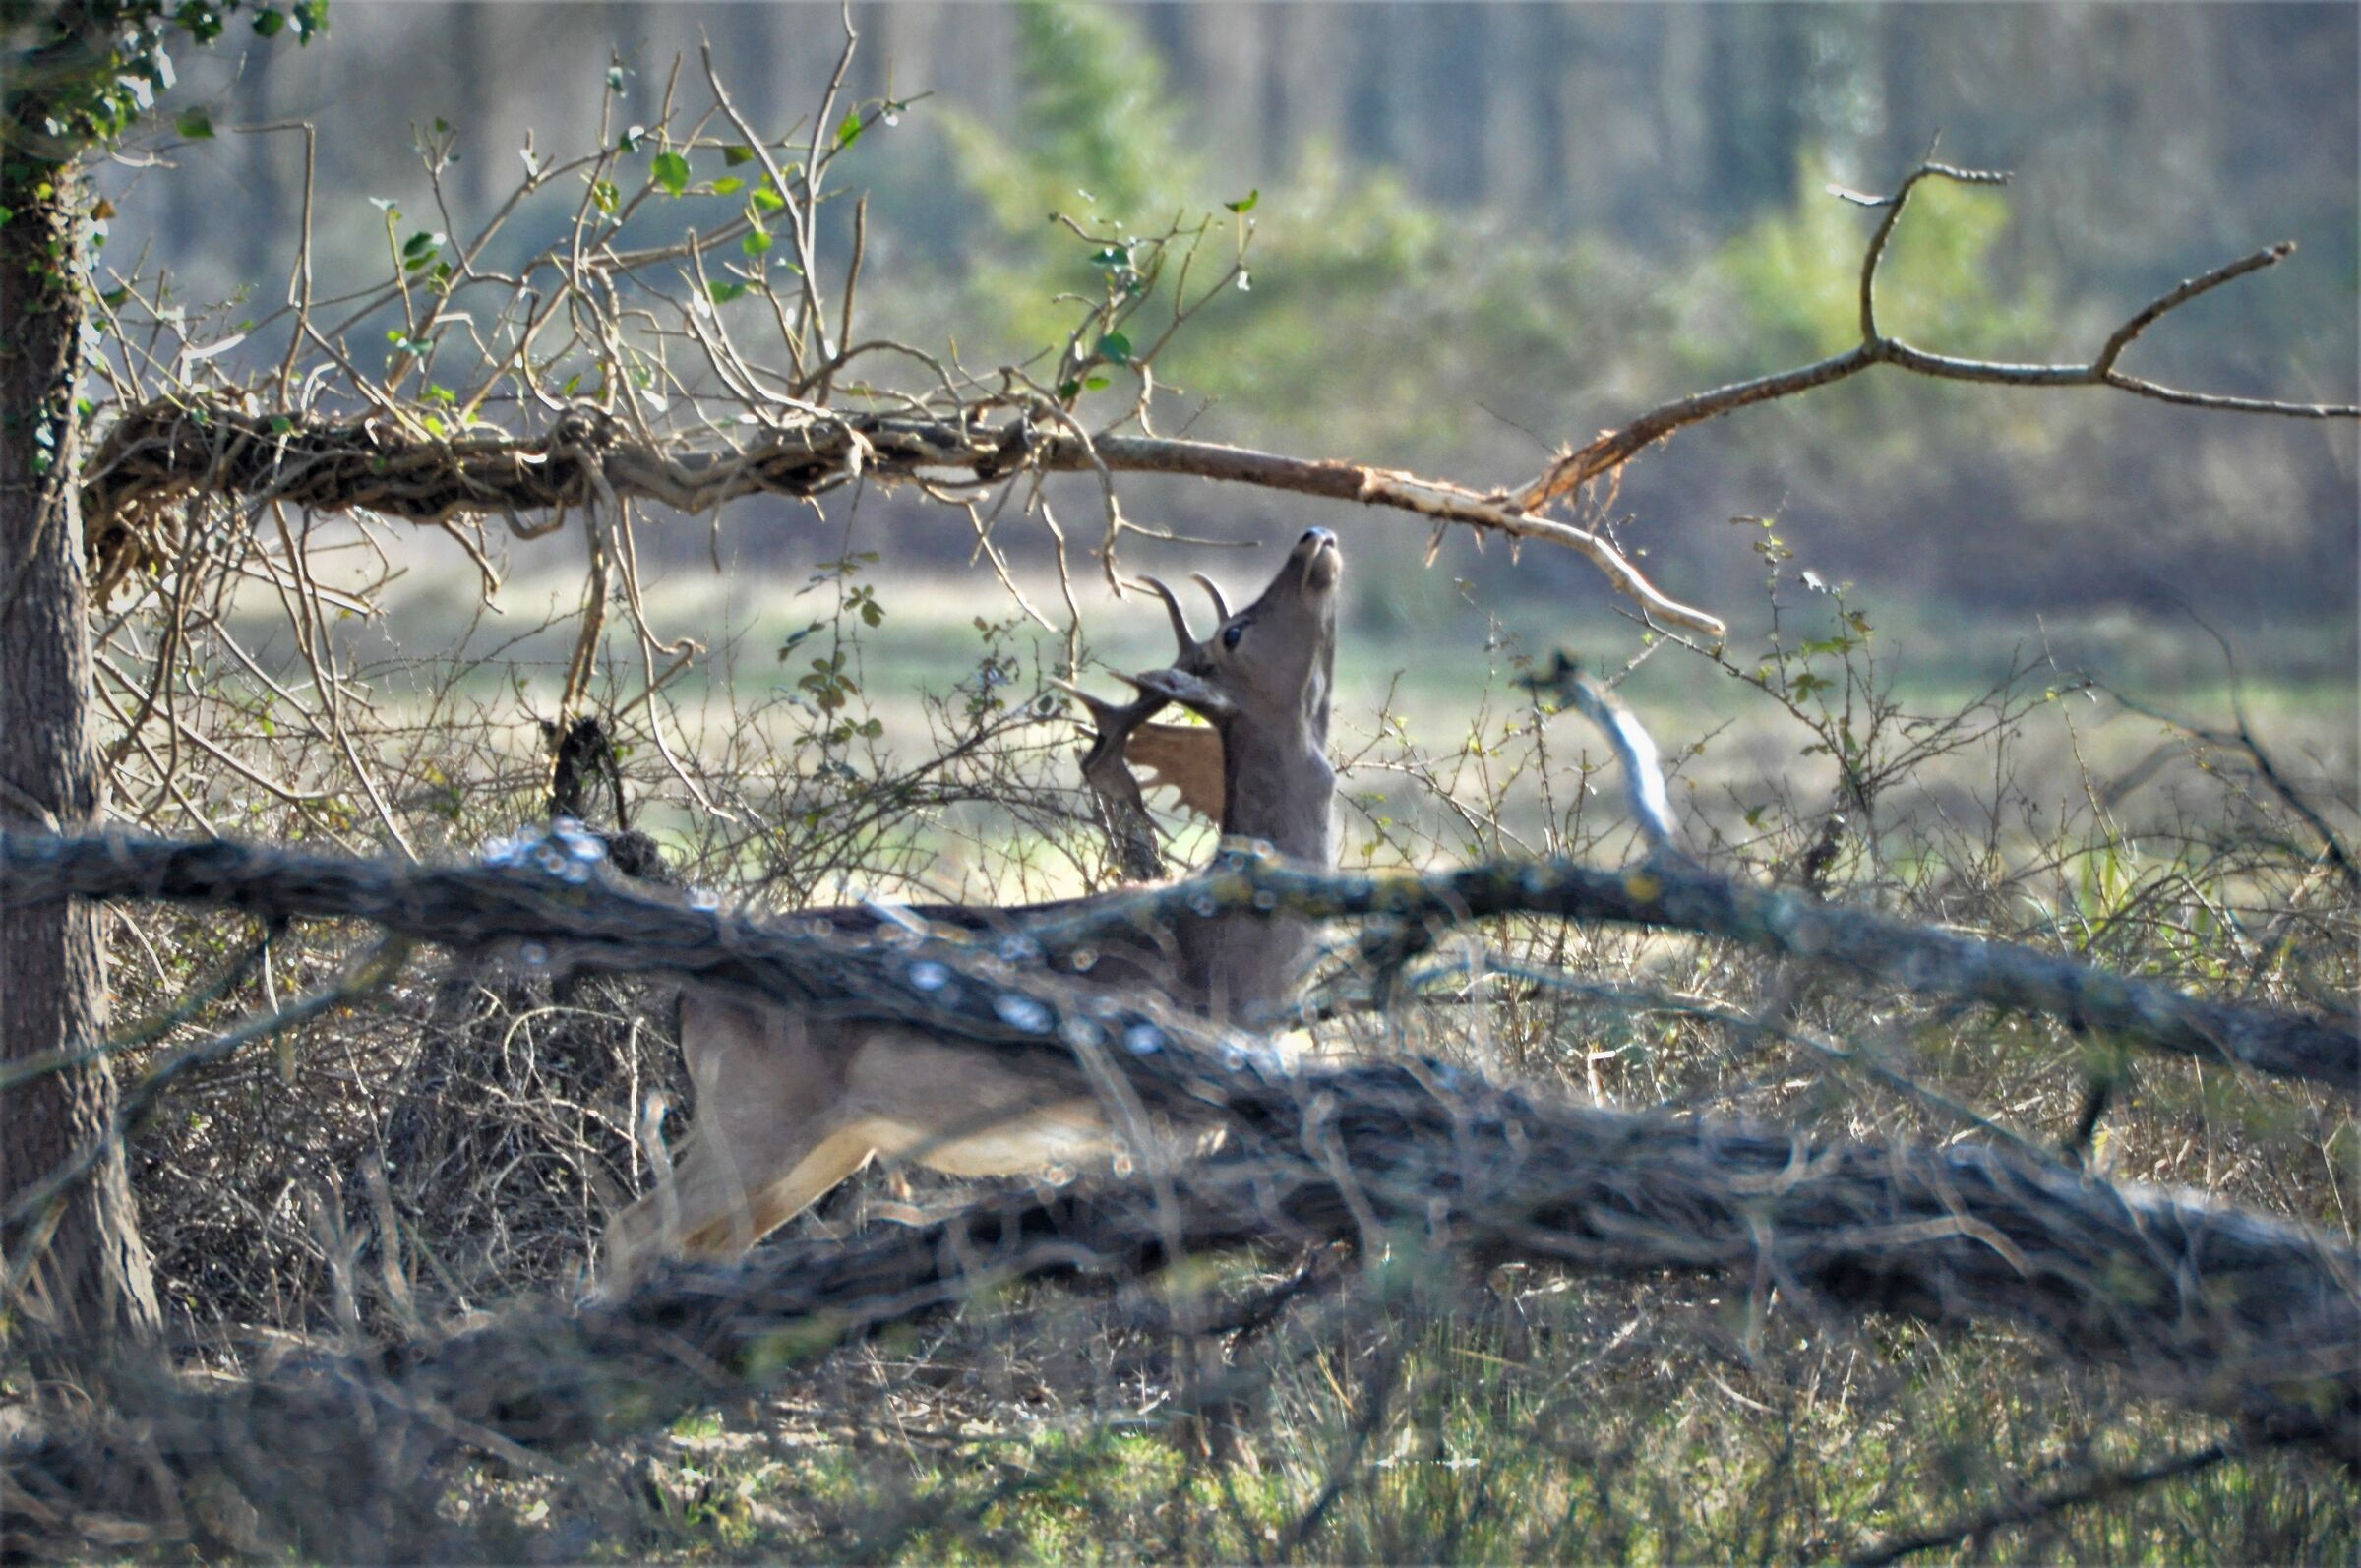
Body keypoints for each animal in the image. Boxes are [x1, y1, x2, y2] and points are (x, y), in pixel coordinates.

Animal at [600, 527, 1343, 1290]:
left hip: (824, 1143)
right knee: (630, 1230)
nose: (1314, 539)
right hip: (758, 1114)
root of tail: (686, 999)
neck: (1224, 954)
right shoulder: (1154, 1118)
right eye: (1234, 630)